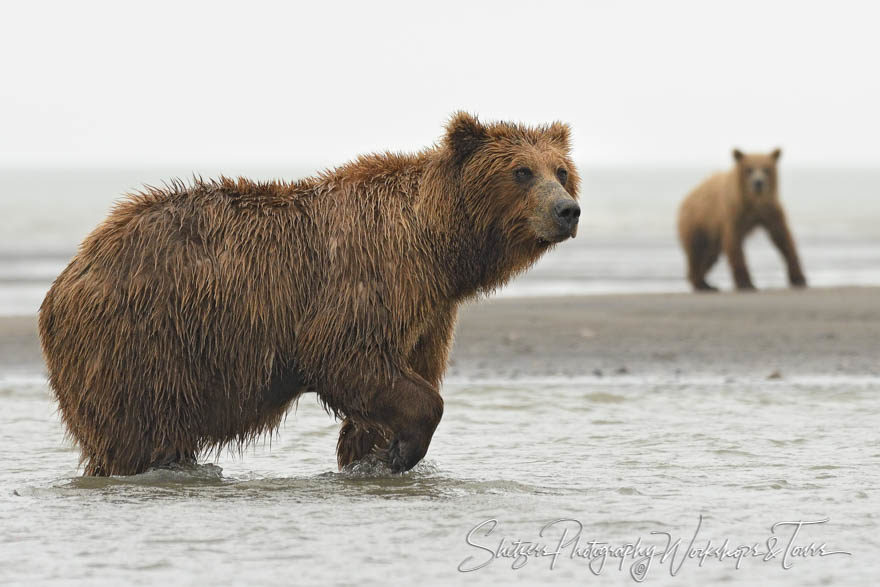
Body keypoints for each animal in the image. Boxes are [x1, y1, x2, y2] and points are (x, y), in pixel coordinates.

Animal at [37, 112, 580, 476]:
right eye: (521, 171)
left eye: (560, 170)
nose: (567, 210)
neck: (436, 246)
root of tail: (70, 274)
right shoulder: (367, 278)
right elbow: (346, 355)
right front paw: (399, 452)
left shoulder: (428, 311)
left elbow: (399, 375)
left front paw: (371, 453)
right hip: (143, 341)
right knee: (137, 432)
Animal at [676, 149, 808, 292]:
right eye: (749, 169)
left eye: (766, 168)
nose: (758, 183)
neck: (753, 202)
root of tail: (686, 198)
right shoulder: (732, 213)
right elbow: (734, 243)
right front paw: (746, 283)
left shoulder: (770, 211)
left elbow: (783, 238)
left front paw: (799, 279)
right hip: (698, 223)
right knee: (697, 251)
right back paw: (702, 284)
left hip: (711, 236)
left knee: (710, 256)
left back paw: (707, 283)